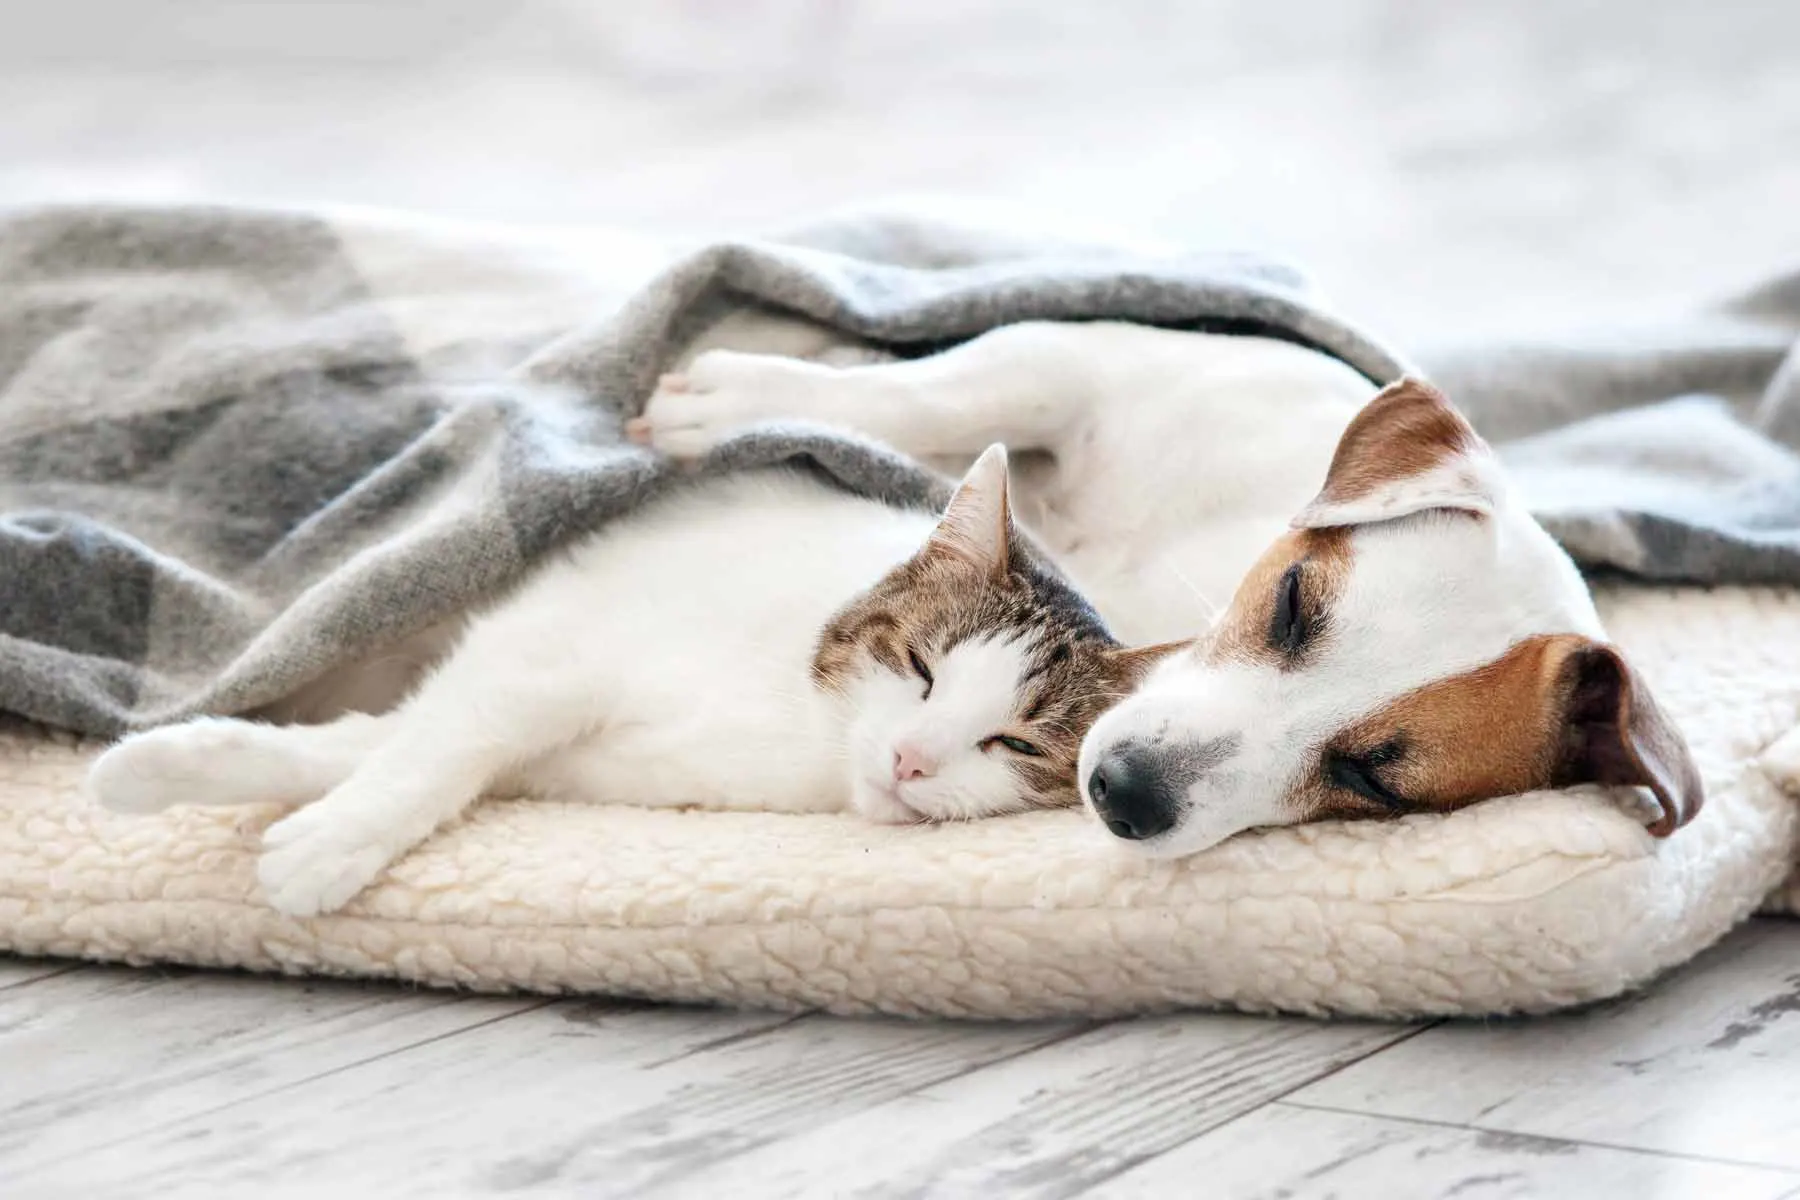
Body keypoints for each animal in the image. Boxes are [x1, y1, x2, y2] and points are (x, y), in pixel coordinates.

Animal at [91, 446, 1173, 913]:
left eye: (1014, 743)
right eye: (921, 669)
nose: (910, 760)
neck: (793, 724)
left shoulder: (563, 746)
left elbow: (381, 746)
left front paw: (206, 779)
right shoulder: (544, 649)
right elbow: (435, 751)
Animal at [633, 316, 1699, 852]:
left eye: (1372, 781)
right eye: (1293, 603)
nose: (1124, 795)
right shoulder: (1092, 358)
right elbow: (948, 390)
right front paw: (739, 398)